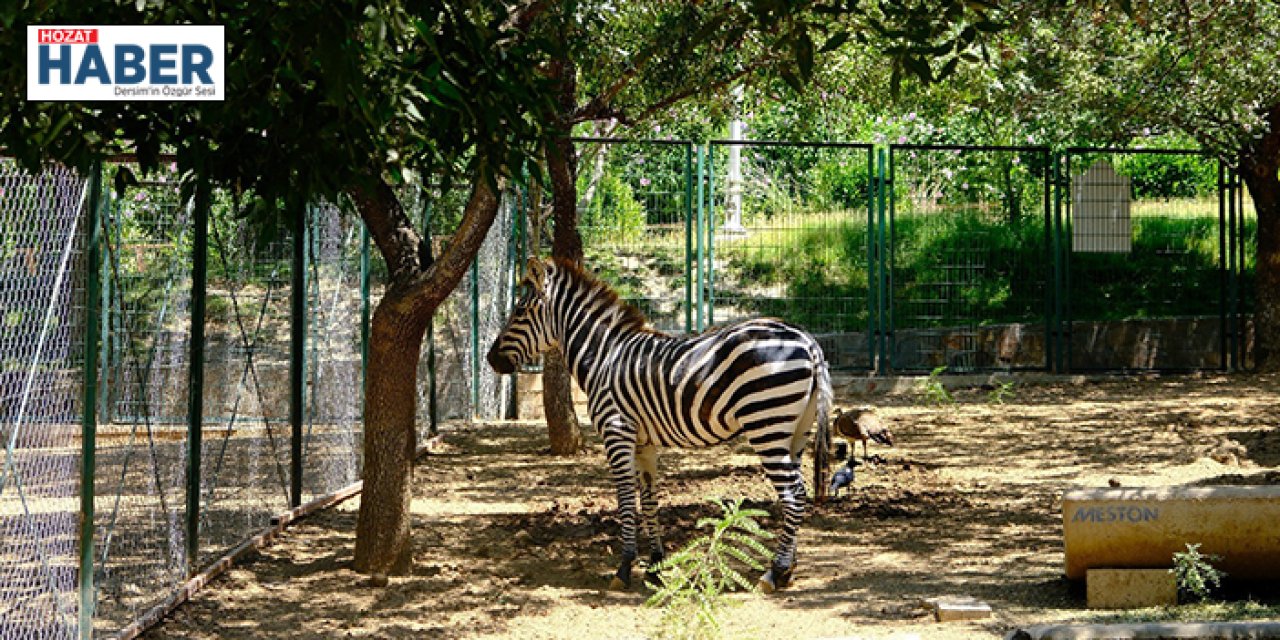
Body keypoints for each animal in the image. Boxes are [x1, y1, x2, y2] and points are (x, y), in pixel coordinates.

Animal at [483, 257, 834, 591]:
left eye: (519, 312)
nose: (490, 359)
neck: (603, 357)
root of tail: (807, 340)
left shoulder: (617, 432)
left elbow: (626, 498)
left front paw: (625, 567)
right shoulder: (643, 442)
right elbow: (649, 499)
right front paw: (655, 565)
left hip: (766, 424)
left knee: (792, 495)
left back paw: (774, 572)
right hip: (795, 431)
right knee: (799, 491)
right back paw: (788, 569)